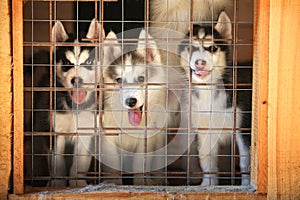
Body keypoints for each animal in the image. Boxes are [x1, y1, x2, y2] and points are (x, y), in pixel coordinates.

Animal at [179, 10, 252, 186]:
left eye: (211, 48)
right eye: (191, 48)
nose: (200, 62)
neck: (208, 91)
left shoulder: (243, 127)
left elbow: (245, 160)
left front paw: (246, 185)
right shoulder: (205, 131)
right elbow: (206, 160)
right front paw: (208, 185)